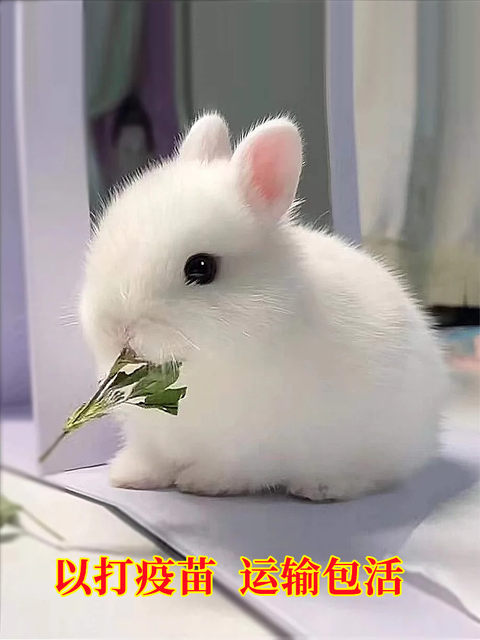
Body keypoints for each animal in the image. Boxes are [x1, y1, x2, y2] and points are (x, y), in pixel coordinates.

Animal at [80, 112, 448, 501]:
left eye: (201, 267)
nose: (115, 327)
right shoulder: (152, 440)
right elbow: (152, 459)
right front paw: (127, 476)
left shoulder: (252, 445)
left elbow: (237, 469)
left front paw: (201, 482)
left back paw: (320, 487)